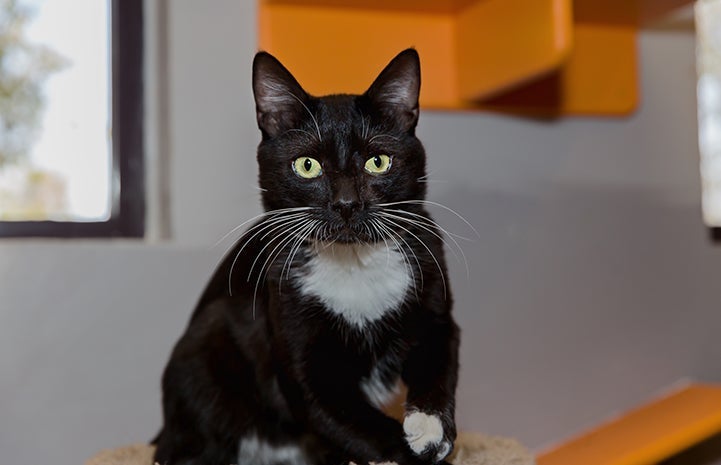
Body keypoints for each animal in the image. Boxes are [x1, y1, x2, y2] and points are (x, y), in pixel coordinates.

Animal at [154, 49, 458, 464]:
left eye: (378, 162)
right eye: (307, 165)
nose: (346, 203)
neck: (353, 261)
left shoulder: (431, 278)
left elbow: (439, 355)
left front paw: (431, 431)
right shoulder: (288, 321)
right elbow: (335, 409)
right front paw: (406, 451)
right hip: (203, 348)